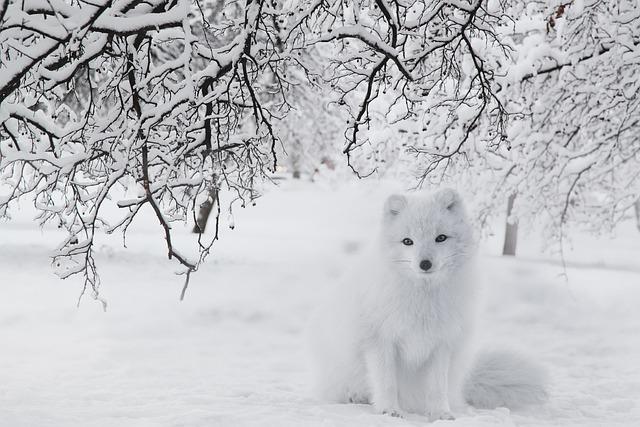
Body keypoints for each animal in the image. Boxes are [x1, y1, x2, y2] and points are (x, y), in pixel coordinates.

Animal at [310, 188, 548, 421]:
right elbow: (387, 383)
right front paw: (389, 411)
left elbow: (436, 387)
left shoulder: (441, 344)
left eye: (440, 238)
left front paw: (440, 414)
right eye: (408, 241)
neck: (423, 300)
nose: (425, 264)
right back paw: (356, 397)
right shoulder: (379, 340)